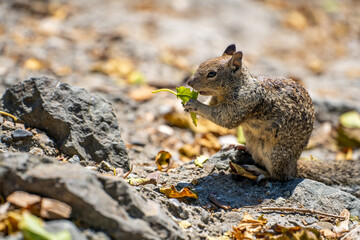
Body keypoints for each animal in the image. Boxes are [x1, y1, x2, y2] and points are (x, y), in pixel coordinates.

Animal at [183, 44, 316, 180]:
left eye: (212, 74)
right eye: (201, 64)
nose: (189, 82)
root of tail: (294, 166)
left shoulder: (241, 105)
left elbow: (222, 118)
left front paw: (194, 104)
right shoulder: (215, 100)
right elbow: (210, 105)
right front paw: (185, 104)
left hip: (274, 154)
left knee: (278, 176)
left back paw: (257, 170)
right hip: (253, 141)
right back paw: (238, 146)